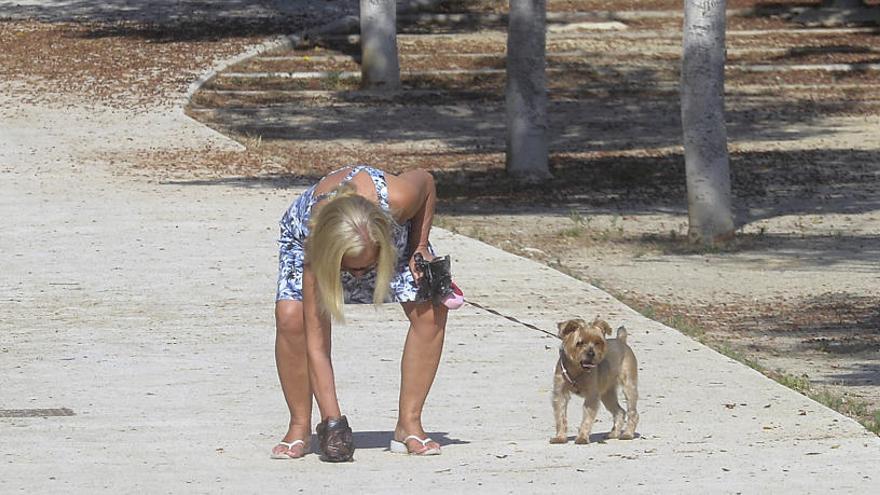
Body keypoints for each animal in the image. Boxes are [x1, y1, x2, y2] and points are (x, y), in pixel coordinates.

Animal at [552, 318, 640, 446]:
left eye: (598, 343)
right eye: (579, 343)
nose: (591, 353)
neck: (577, 370)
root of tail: (621, 341)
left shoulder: (591, 396)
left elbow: (587, 418)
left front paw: (582, 438)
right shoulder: (560, 394)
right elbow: (560, 416)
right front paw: (560, 437)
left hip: (629, 386)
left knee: (632, 412)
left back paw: (628, 434)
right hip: (607, 394)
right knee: (620, 411)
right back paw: (614, 433)